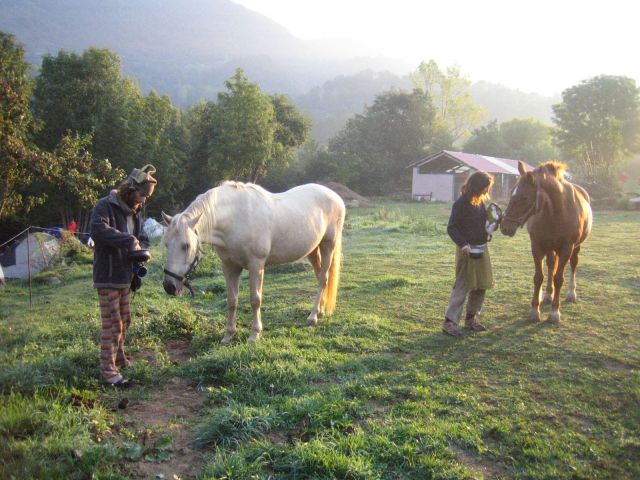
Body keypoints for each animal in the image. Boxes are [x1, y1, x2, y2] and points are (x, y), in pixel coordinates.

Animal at [162, 180, 348, 342]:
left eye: (186, 245)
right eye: (166, 244)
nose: (169, 286)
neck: (235, 218)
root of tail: (335, 196)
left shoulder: (256, 265)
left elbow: (255, 299)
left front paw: (255, 335)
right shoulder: (229, 267)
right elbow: (232, 300)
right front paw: (228, 335)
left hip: (328, 245)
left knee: (323, 279)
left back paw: (313, 317)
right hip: (313, 249)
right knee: (319, 276)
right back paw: (320, 311)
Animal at [500, 160, 596, 322]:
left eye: (524, 197)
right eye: (512, 191)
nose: (504, 227)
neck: (556, 213)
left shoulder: (566, 248)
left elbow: (559, 279)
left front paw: (554, 313)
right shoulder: (537, 246)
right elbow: (539, 277)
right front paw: (534, 311)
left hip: (575, 247)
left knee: (573, 264)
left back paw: (571, 293)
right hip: (550, 247)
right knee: (551, 265)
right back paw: (548, 295)